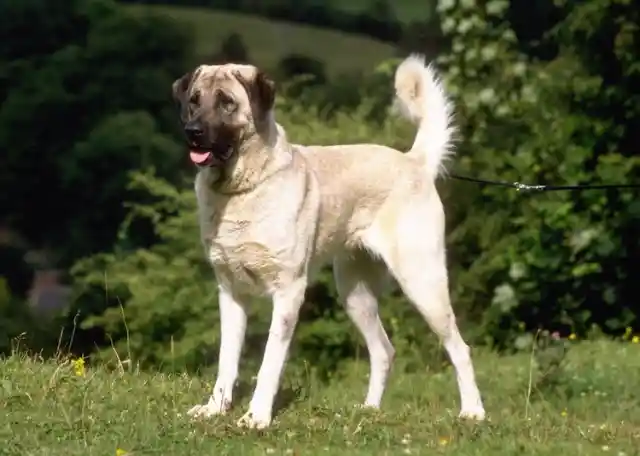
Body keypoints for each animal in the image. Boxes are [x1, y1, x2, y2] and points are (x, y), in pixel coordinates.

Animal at [171, 55, 484, 430]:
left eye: (226, 102)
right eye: (194, 101)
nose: (192, 133)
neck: (242, 189)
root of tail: (413, 161)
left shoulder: (289, 292)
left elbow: (269, 361)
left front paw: (257, 416)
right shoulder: (230, 293)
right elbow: (226, 359)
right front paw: (215, 408)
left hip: (422, 283)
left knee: (460, 348)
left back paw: (473, 412)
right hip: (354, 294)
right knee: (384, 350)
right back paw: (369, 410)